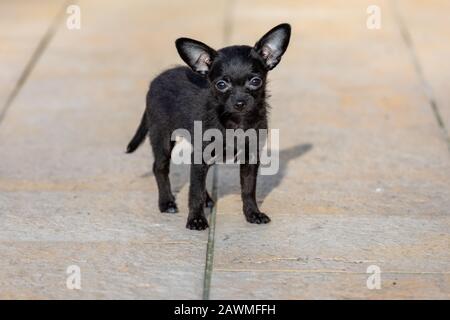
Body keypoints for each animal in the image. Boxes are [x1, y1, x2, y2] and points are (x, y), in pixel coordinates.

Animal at [125, 23, 292, 231]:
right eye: (221, 84)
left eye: (255, 81)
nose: (240, 103)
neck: (236, 121)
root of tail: (156, 80)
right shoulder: (199, 156)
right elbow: (194, 192)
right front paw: (196, 219)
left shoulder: (250, 158)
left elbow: (248, 189)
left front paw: (253, 213)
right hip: (162, 136)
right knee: (160, 168)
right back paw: (167, 202)